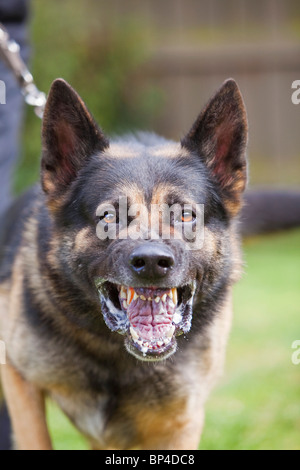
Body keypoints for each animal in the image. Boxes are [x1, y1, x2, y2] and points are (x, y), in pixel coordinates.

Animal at [0, 79, 248, 450]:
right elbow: (34, 437)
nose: (152, 262)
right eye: (108, 216)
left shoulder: (180, 421)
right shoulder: (17, 376)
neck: (116, 353)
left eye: (186, 215)